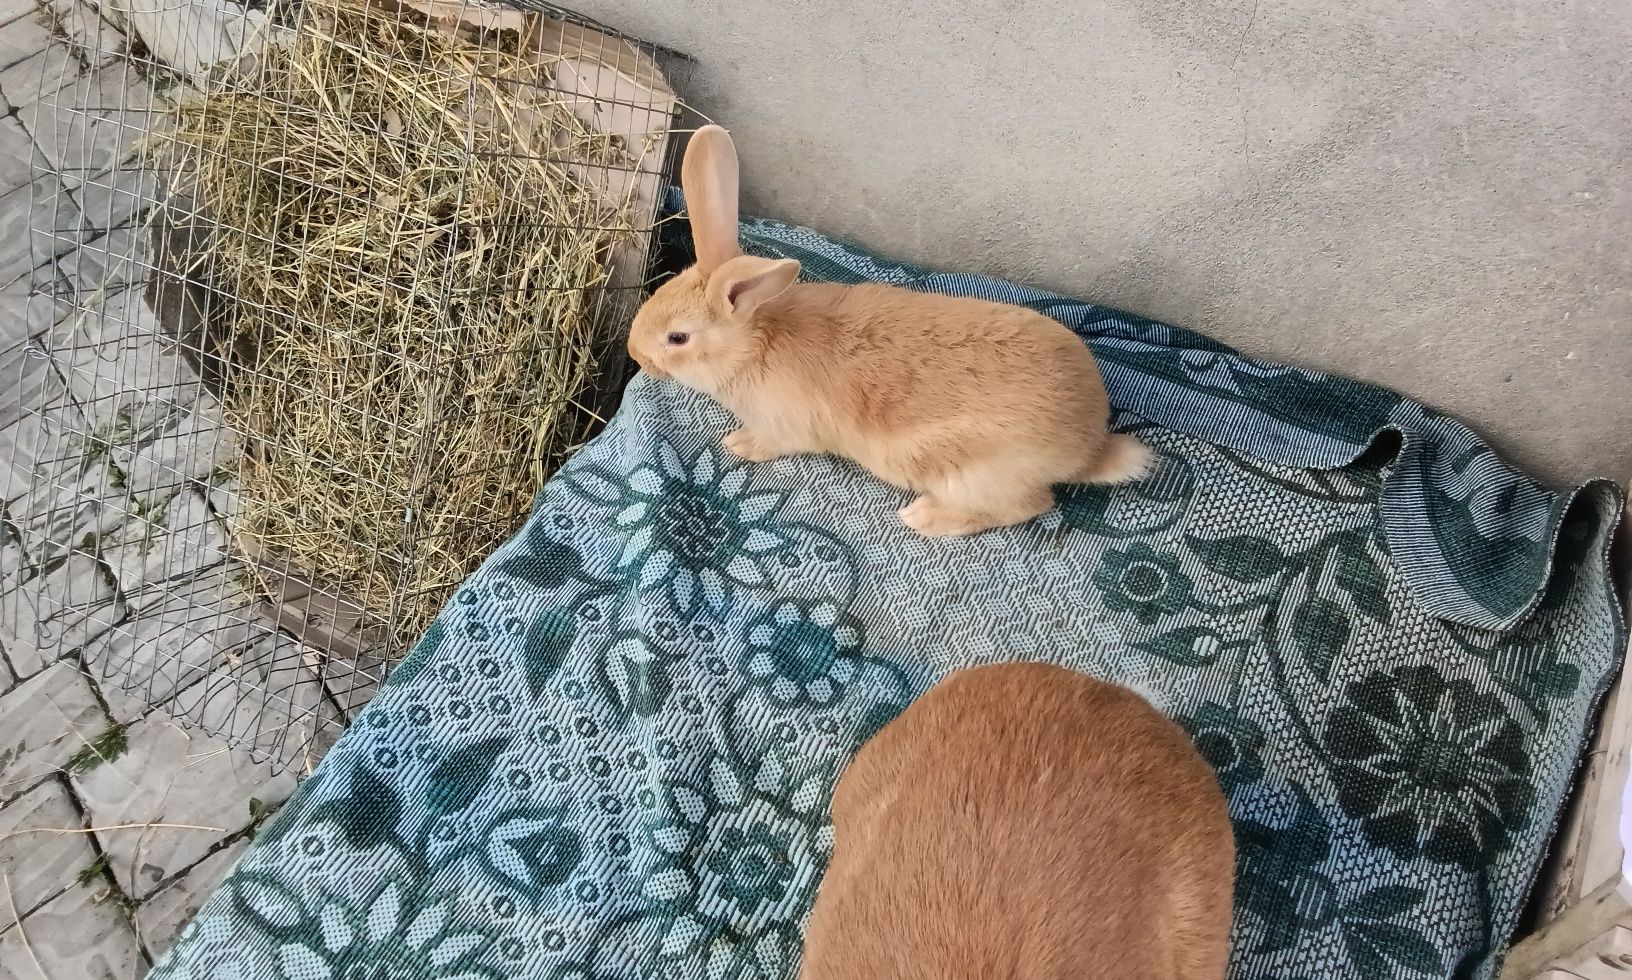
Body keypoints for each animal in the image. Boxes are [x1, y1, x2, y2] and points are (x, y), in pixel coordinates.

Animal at [623, 124, 1148, 535]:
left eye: (677, 338)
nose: (634, 354)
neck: (755, 343)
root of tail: (1088, 450)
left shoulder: (785, 426)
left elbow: (770, 444)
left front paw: (737, 444)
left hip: (970, 475)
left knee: (1029, 506)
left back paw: (926, 518)